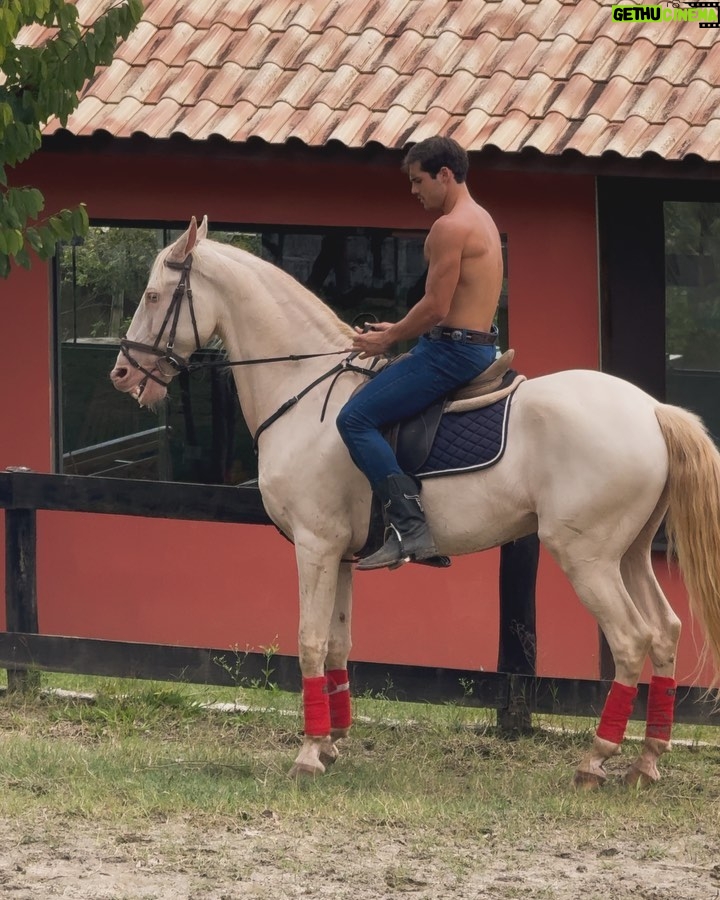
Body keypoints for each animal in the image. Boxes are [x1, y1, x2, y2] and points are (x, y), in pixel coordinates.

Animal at [109, 218, 720, 788]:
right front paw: (331, 743)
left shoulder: (314, 546)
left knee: (632, 640)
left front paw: (307, 754)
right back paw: (646, 761)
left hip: (586, 558)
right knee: (664, 632)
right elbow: (338, 645)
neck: (303, 388)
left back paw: (596, 759)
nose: (121, 373)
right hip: (629, 555)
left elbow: (309, 643)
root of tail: (651, 410)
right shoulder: (342, 556)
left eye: (154, 296)